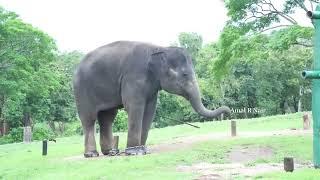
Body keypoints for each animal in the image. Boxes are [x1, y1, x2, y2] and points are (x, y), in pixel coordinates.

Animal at [72, 40, 230, 158]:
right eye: (185, 74)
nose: (228, 112)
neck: (159, 48)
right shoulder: (133, 77)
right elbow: (134, 107)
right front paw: (135, 152)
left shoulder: (152, 86)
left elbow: (150, 110)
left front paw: (144, 150)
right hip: (81, 91)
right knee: (89, 119)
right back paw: (92, 154)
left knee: (107, 118)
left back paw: (111, 152)